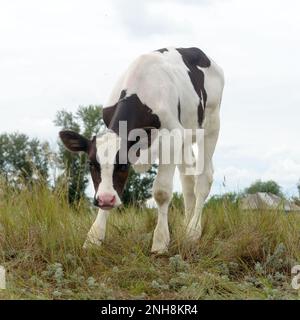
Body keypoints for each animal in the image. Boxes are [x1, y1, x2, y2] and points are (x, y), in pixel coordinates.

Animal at [59, 47, 224, 252]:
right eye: (91, 164)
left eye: (123, 165)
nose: (105, 199)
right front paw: (93, 238)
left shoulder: (172, 138)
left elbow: (161, 192)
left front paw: (160, 242)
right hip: (186, 137)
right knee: (188, 180)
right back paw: (186, 228)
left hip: (211, 122)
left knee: (203, 179)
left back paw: (193, 232)